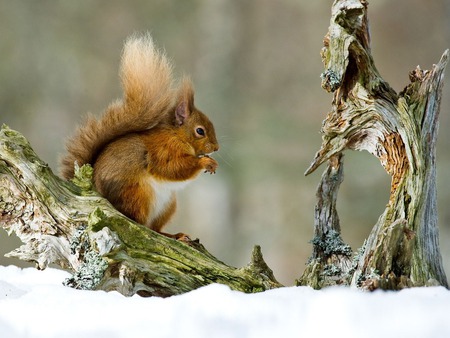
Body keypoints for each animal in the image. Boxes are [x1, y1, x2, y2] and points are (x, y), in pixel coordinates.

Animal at [60, 33, 220, 239]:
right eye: (200, 131)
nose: (216, 148)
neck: (177, 135)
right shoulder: (163, 149)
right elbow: (173, 167)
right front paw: (206, 162)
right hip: (138, 195)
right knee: (140, 222)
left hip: (167, 205)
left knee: (154, 228)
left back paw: (175, 236)